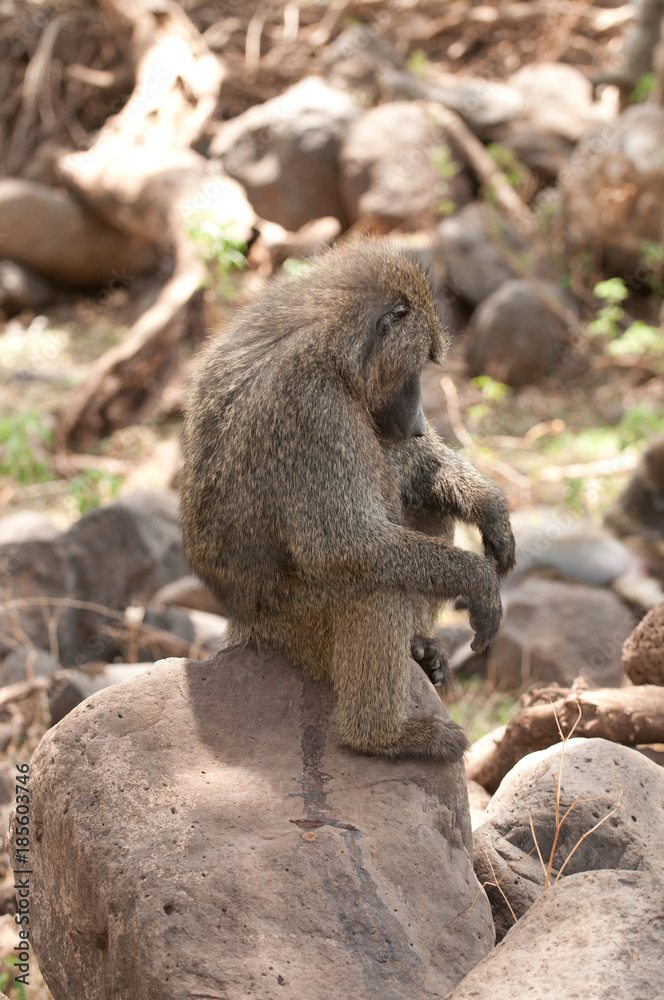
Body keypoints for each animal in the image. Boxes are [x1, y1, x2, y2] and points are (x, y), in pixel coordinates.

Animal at [180, 241, 516, 761]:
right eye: (418, 367)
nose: (419, 422)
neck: (330, 346)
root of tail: (246, 627)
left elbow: (411, 468)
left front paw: (490, 507)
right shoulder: (315, 409)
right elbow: (340, 544)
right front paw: (480, 581)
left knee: (425, 502)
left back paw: (420, 650)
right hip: (299, 625)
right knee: (374, 580)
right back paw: (382, 736)